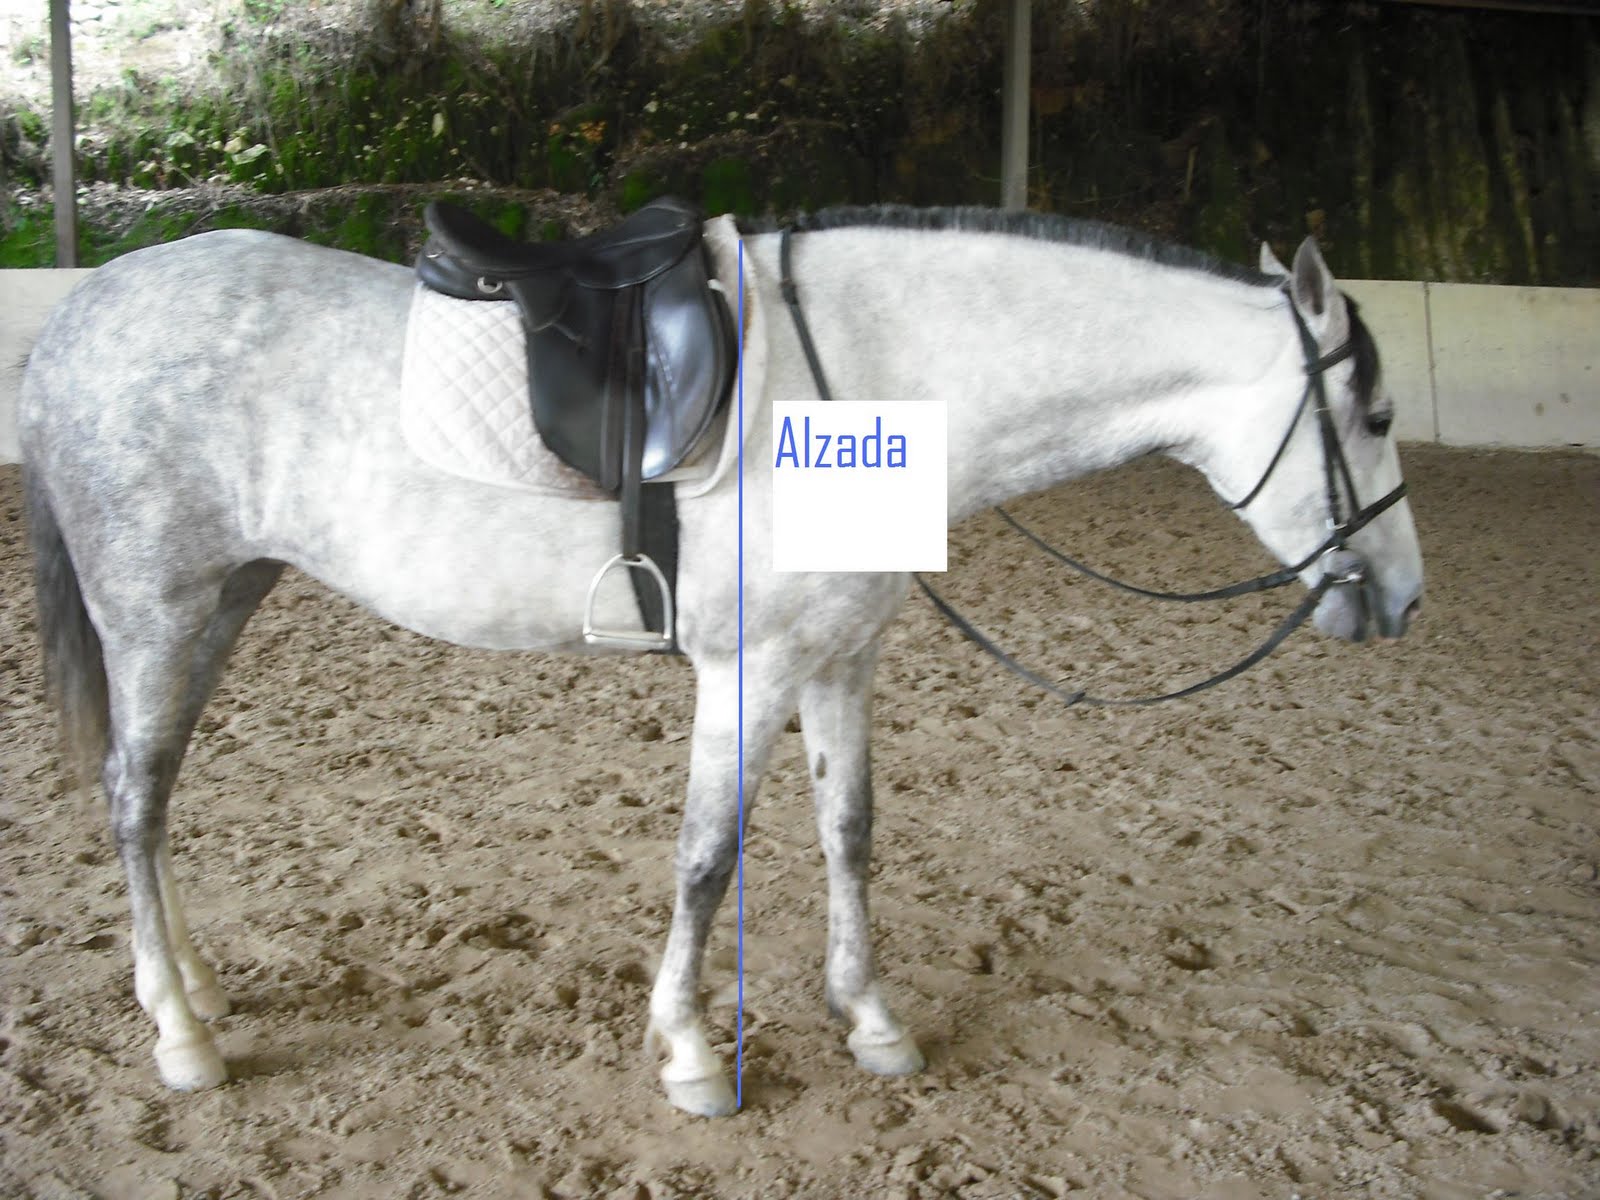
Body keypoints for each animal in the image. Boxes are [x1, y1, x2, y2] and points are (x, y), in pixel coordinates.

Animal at [19, 205, 1424, 1117]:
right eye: (1373, 413)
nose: (1405, 599)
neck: (865, 380)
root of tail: (78, 315)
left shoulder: (840, 663)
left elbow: (851, 836)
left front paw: (870, 1020)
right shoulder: (745, 675)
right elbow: (707, 857)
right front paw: (692, 1054)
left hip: (222, 600)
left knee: (157, 797)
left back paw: (188, 984)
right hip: (153, 608)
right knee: (135, 799)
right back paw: (182, 1037)